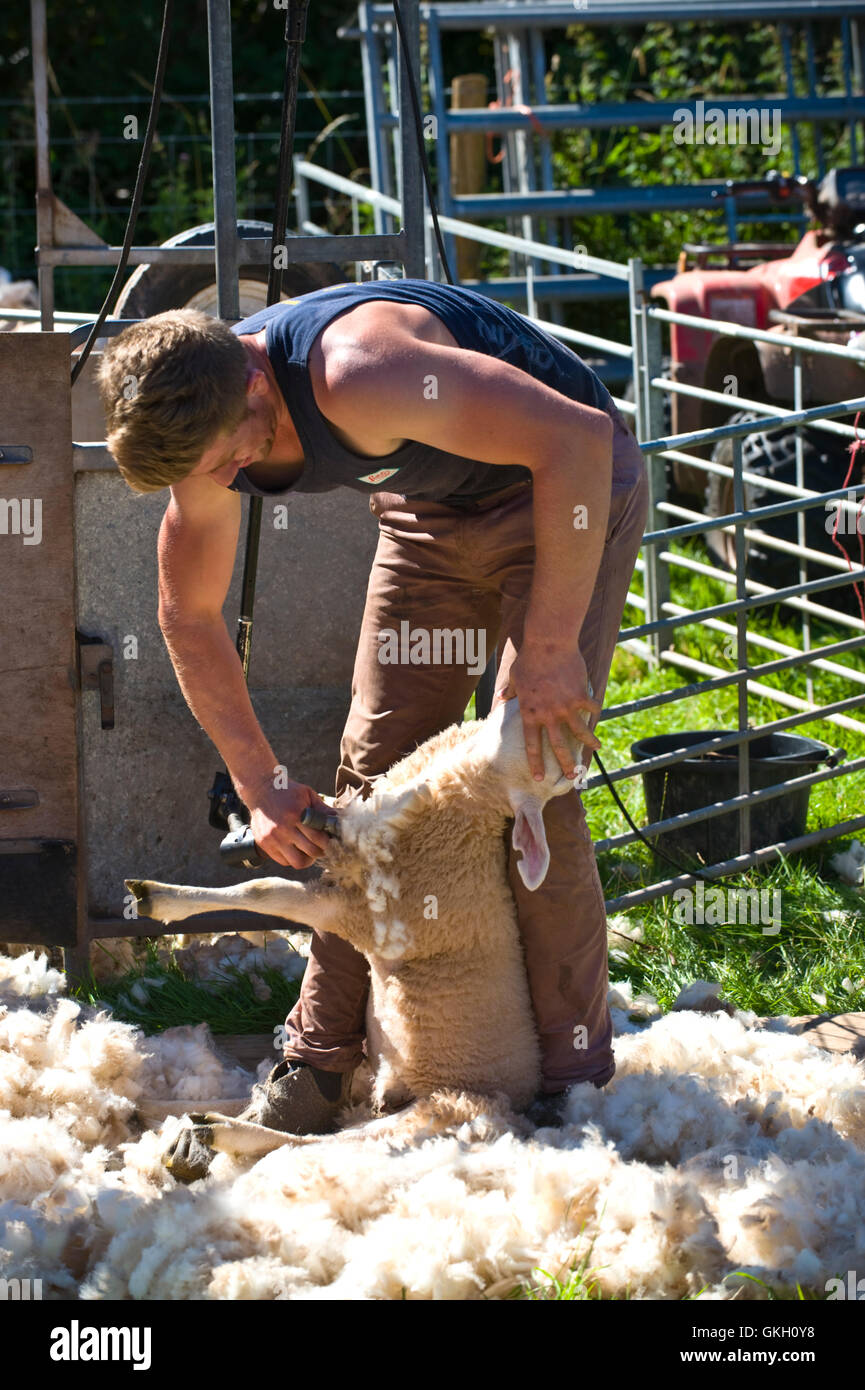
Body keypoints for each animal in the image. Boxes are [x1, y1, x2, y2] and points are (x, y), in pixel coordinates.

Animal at [127, 695, 589, 1150]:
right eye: (560, 772)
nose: (581, 709)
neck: (462, 809)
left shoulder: (366, 917)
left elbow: (264, 889)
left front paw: (159, 900)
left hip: (445, 1104)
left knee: (320, 1142)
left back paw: (215, 1131)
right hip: (370, 1074)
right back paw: (153, 1109)